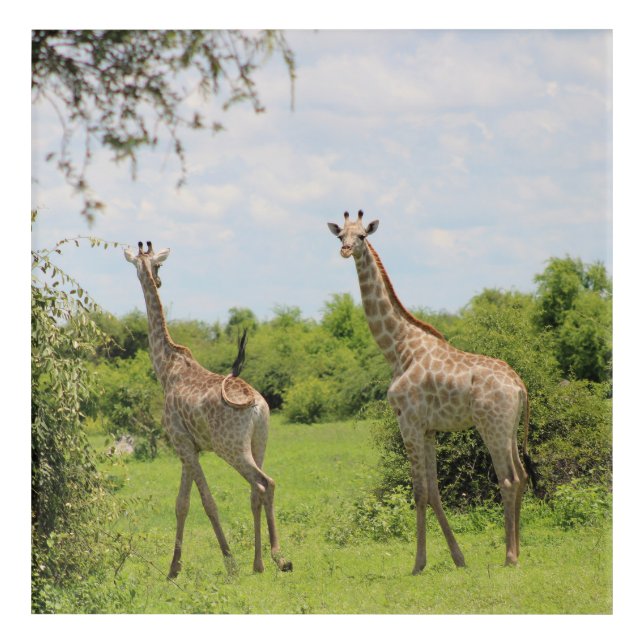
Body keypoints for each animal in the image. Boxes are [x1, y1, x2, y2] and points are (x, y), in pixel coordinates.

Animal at [124, 241, 292, 577]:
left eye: (159, 265)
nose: (158, 281)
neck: (165, 367)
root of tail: (257, 406)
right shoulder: (190, 446)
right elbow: (182, 503)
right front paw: (173, 568)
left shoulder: (181, 443)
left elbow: (207, 502)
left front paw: (229, 562)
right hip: (260, 440)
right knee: (258, 490)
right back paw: (262, 561)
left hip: (231, 447)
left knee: (264, 483)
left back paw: (274, 558)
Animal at [327, 212, 537, 574]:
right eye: (340, 234)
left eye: (362, 236)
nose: (345, 250)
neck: (397, 348)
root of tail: (519, 384)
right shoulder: (429, 429)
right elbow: (435, 492)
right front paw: (458, 558)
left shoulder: (408, 422)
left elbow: (418, 492)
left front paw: (418, 564)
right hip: (509, 428)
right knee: (522, 476)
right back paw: (518, 551)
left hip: (491, 426)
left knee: (508, 480)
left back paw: (510, 557)